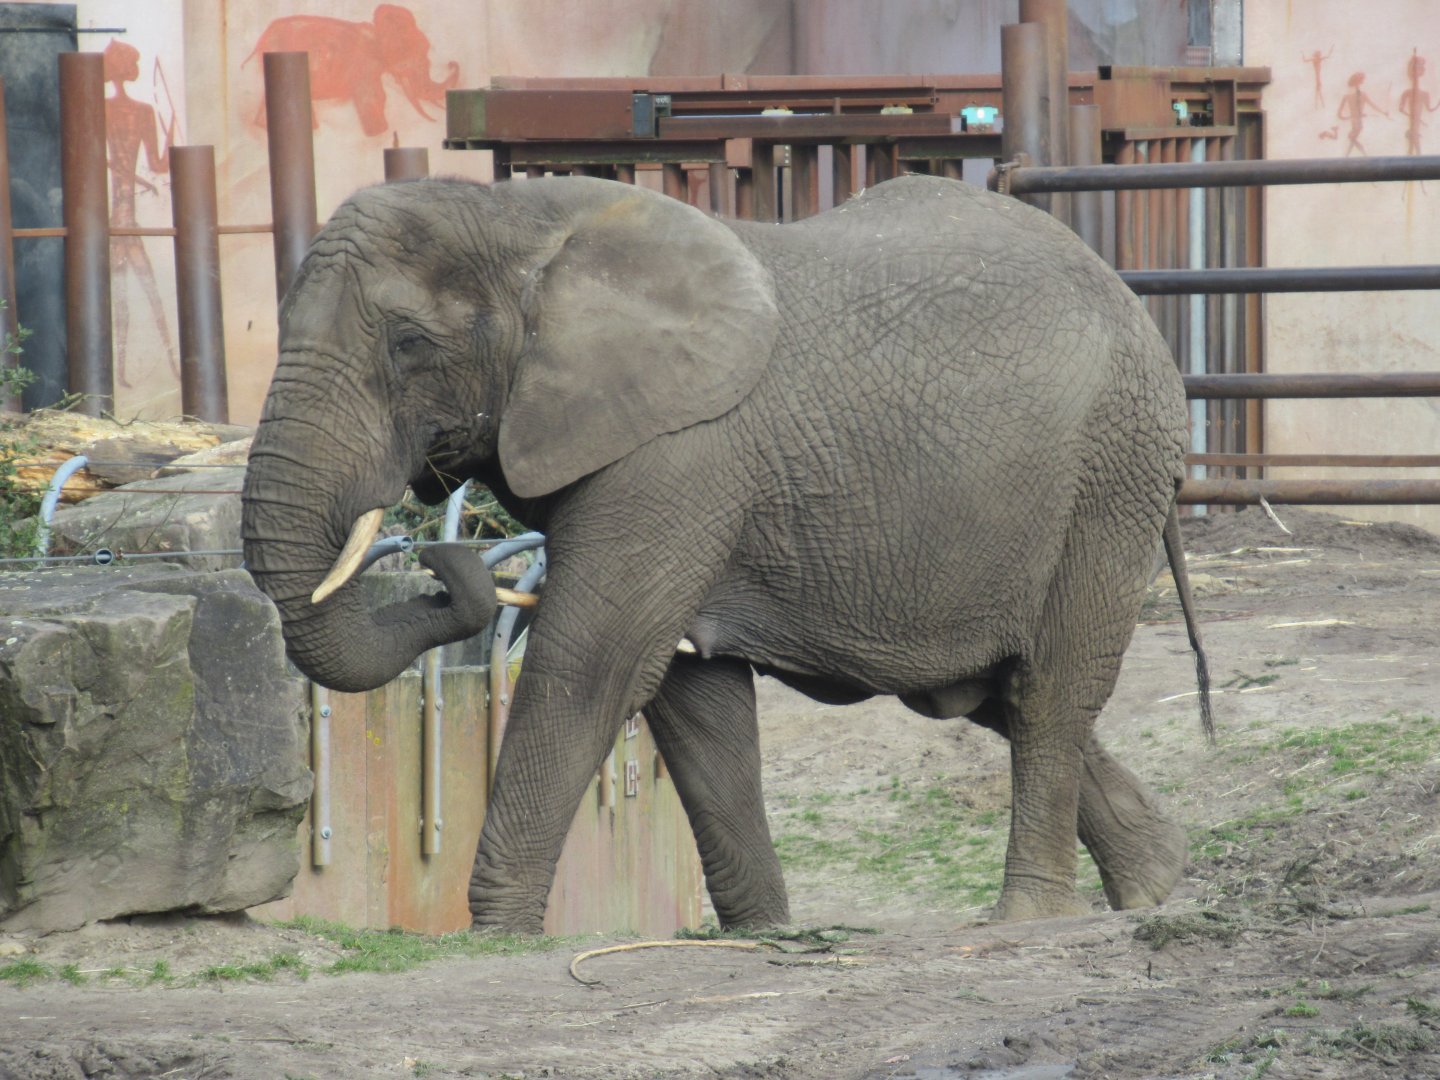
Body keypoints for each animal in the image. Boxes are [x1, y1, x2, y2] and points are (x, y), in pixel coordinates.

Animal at [241, 172, 1213, 932]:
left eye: (409, 345)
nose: (451, 558)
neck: (518, 218)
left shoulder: (679, 452)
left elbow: (592, 665)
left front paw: (496, 935)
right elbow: (691, 699)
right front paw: (766, 933)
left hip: (1109, 477)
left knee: (1048, 690)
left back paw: (1030, 918)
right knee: (984, 692)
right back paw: (1157, 879)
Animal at [246, 5, 460, 137]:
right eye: (420, 54)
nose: (450, 63)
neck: (377, 31)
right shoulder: (364, 66)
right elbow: (374, 96)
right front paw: (379, 132)